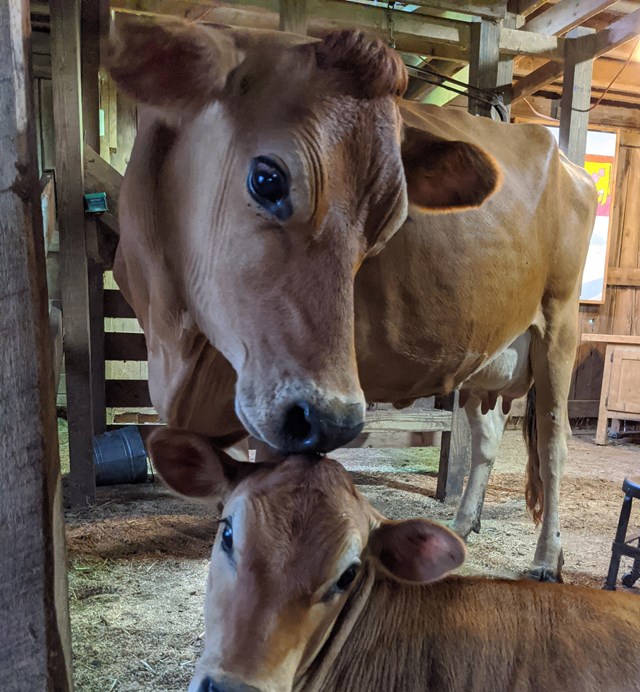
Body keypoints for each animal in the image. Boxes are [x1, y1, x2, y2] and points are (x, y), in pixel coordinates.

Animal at [107, 17, 596, 580]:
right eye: (267, 179)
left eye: (387, 226)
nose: (336, 420)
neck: (173, 334)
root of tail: (566, 158)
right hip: (488, 355)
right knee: (488, 435)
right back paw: (463, 522)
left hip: (559, 326)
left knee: (554, 442)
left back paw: (546, 556)